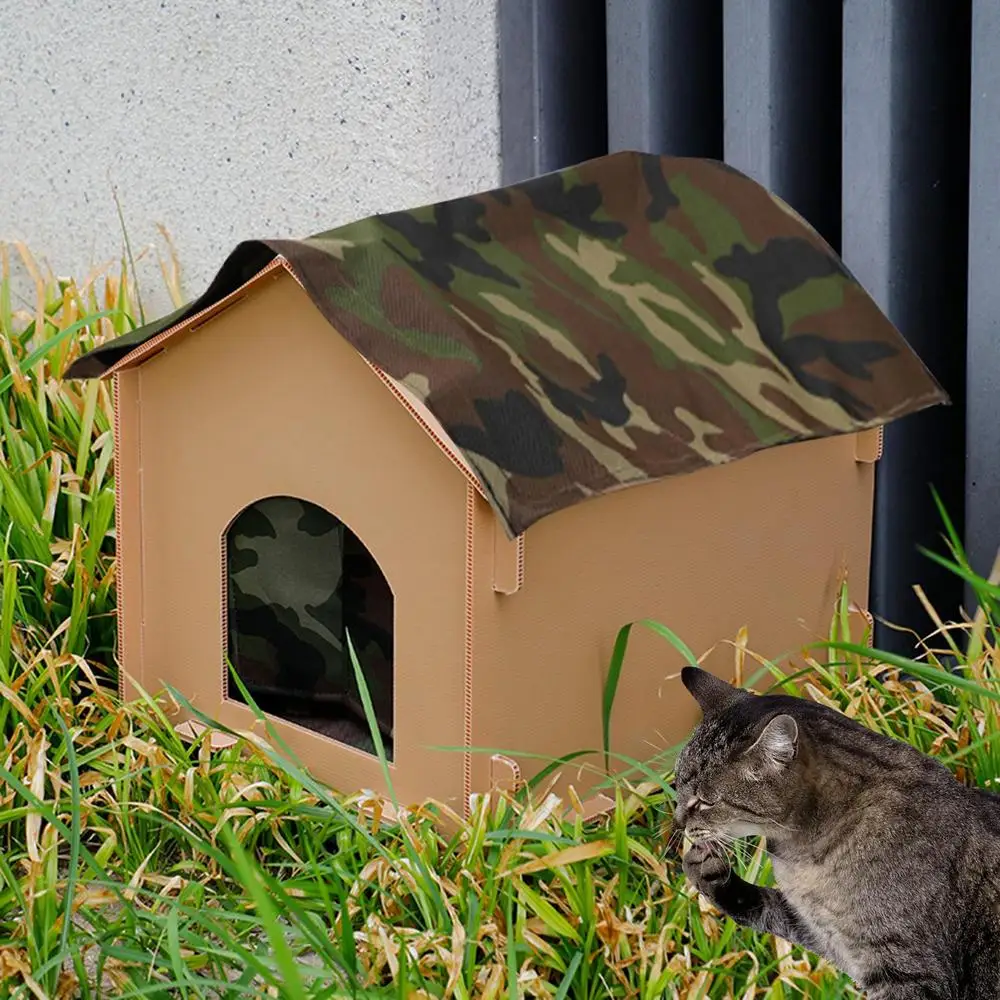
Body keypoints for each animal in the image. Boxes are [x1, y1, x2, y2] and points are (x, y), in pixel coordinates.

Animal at [672, 665, 1000, 999]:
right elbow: (766, 907)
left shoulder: (908, 974)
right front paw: (706, 872)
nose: (677, 822)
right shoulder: (829, 937)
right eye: (676, 785)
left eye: (705, 801)